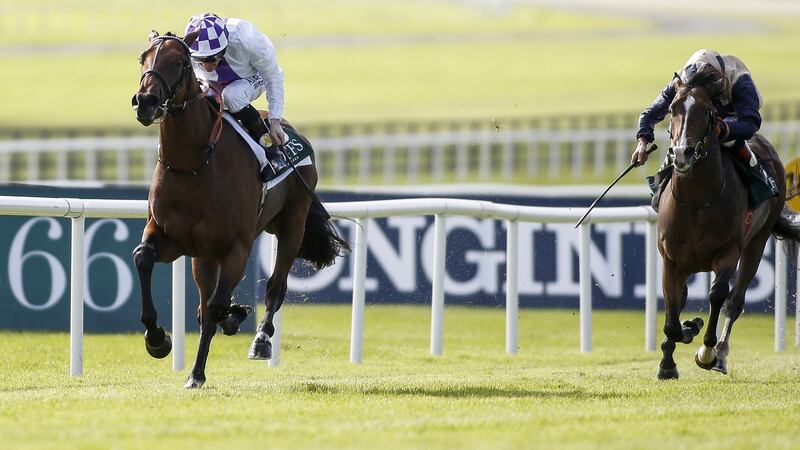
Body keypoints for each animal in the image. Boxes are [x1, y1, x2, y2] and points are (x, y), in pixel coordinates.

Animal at [130, 31, 346, 388]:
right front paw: (157, 340)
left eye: (179, 62)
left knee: (275, 287)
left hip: (292, 225)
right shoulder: (169, 237)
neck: (193, 166)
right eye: (142, 57)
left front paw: (196, 373)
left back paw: (261, 339)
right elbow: (144, 258)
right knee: (207, 300)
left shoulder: (237, 248)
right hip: (203, 254)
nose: (145, 101)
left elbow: (216, 306)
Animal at [656, 67, 800, 380]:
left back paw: (720, 354)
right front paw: (669, 359)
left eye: (707, 111)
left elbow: (717, 295)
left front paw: (706, 350)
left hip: (757, 243)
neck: (697, 202)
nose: (682, 153)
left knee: (735, 301)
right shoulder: (672, 259)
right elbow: (673, 309)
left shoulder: (728, 253)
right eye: (672, 108)